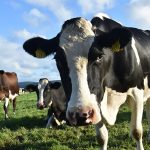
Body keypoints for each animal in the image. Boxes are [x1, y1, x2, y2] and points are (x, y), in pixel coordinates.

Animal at [22, 13, 150, 149]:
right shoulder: (96, 102)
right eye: (58, 59)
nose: (79, 115)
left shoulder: (137, 94)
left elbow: (136, 131)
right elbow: (102, 138)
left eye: (99, 56)